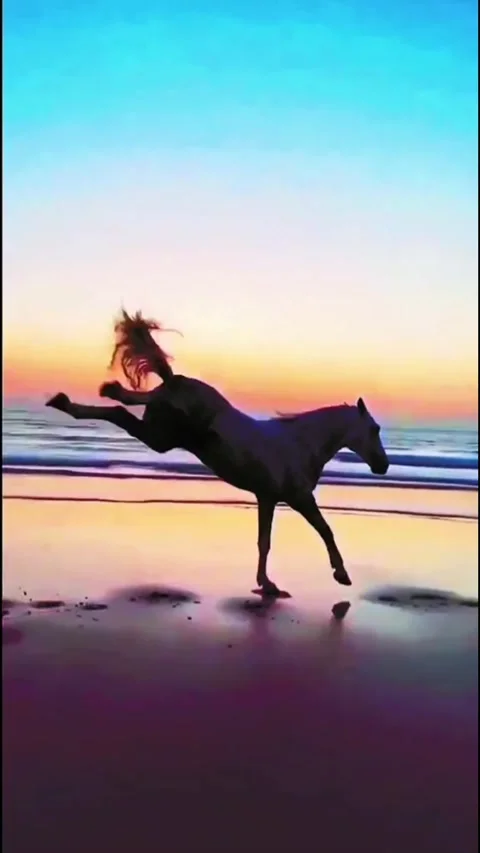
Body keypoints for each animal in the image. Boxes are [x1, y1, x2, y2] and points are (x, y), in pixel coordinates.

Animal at [46, 310, 390, 596]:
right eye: (375, 429)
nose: (383, 466)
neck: (300, 444)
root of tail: (177, 384)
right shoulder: (299, 498)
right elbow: (325, 530)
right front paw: (341, 575)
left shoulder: (267, 498)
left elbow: (264, 542)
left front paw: (266, 584)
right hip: (161, 436)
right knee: (122, 410)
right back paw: (69, 401)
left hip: (158, 428)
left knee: (132, 401)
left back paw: (89, 394)